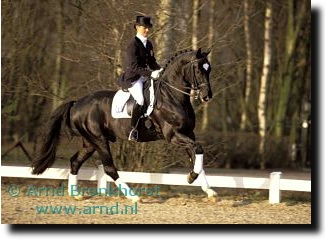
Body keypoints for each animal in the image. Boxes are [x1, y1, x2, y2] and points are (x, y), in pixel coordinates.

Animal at [31, 47, 216, 202]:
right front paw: (191, 177)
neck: (172, 95)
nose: (207, 96)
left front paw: (208, 190)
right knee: (109, 168)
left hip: (89, 142)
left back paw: (75, 194)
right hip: (99, 140)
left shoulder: (188, 133)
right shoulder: (174, 135)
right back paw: (133, 197)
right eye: (198, 69)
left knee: (75, 161)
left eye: (209, 69)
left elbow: (196, 156)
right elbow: (198, 149)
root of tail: (76, 103)